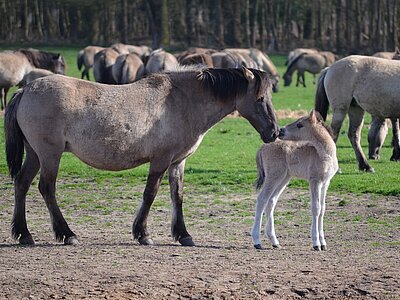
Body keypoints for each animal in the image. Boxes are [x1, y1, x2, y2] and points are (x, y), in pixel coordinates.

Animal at [4, 67, 278, 246]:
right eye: (260, 98)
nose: (274, 132)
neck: (182, 100)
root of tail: (25, 90)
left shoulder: (178, 162)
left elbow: (177, 196)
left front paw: (183, 235)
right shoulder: (160, 160)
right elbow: (150, 194)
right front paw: (142, 234)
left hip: (35, 154)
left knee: (22, 184)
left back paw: (24, 235)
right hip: (49, 154)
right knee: (46, 188)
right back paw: (67, 234)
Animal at [252, 110, 340, 251]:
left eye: (299, 125)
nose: (280, 131)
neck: (325, 154)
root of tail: (262, 147)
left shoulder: (326, 182)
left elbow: (322, 209)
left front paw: (323, 243)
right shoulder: (314, 180)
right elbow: (316, 208)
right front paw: (316, 243)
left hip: (284, 177)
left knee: (271, 201)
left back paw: (274, 241)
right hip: (274, 176)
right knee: (262, 199)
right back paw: (257, 241)